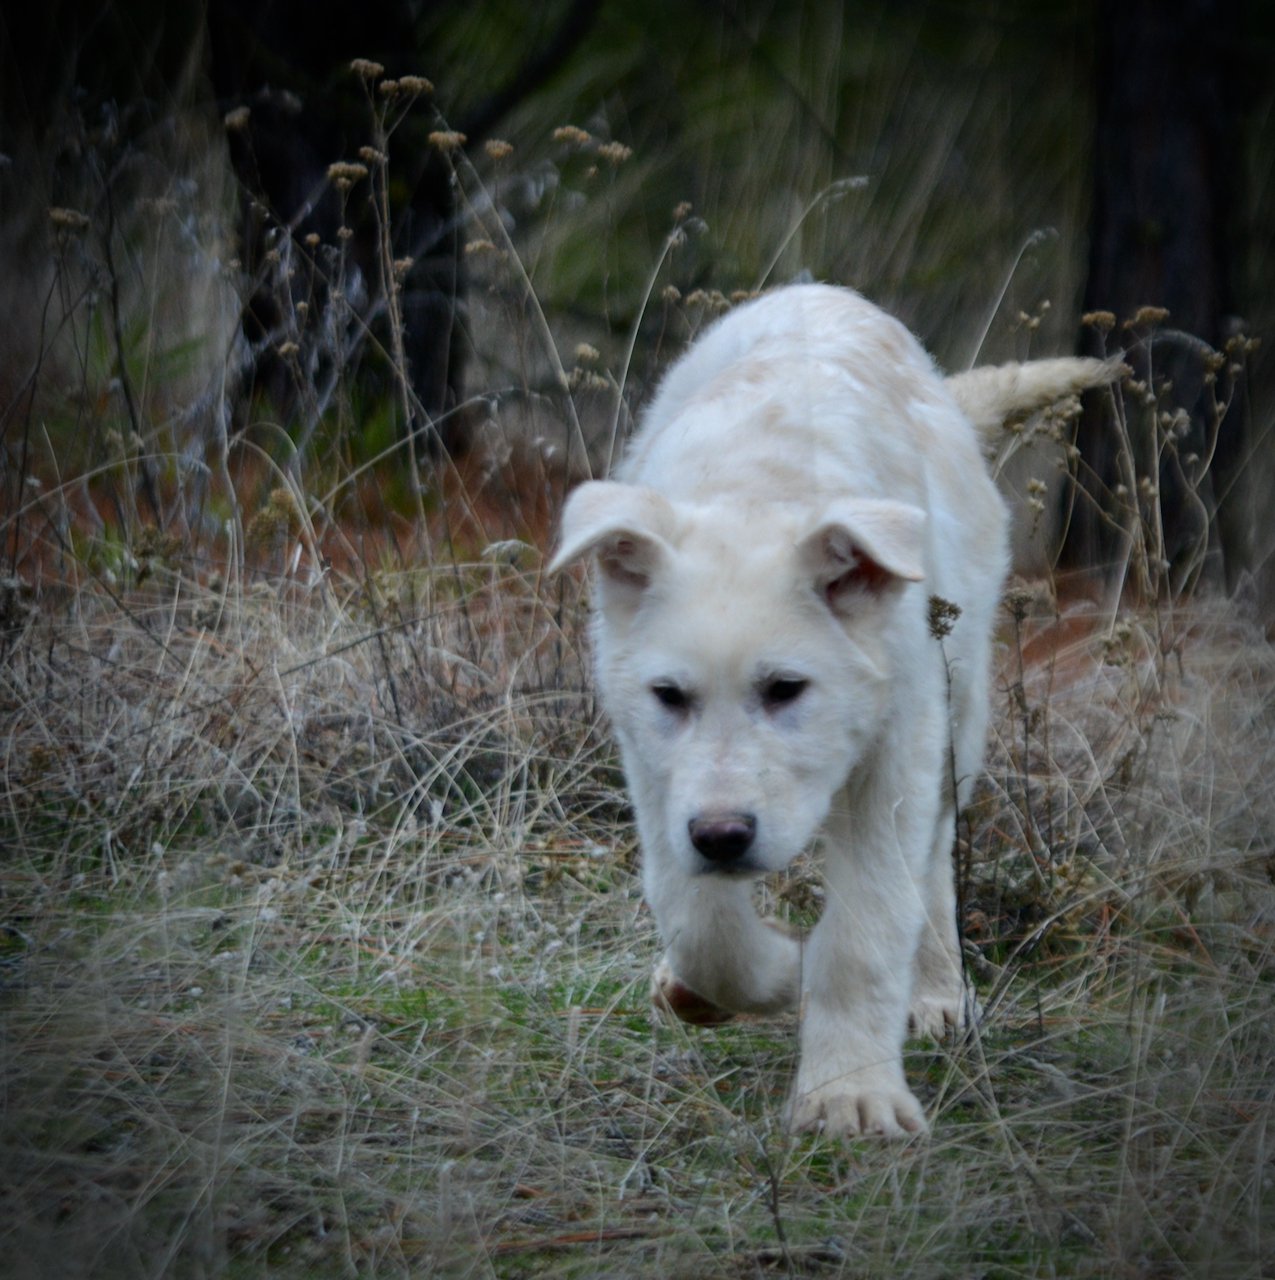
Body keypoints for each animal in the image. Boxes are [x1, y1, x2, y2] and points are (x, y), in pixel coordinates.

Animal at [547, 285, 1116, 1136]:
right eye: (669, 696)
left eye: (786, 689)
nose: (722, 838)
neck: (757, 486)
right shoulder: (656, 770)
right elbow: (697, 917)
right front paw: (762, 974)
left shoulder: (895, 747)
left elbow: (866, 927)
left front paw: (849, 1094)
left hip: (959, 714)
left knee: (932, 868)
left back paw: (936, 991)